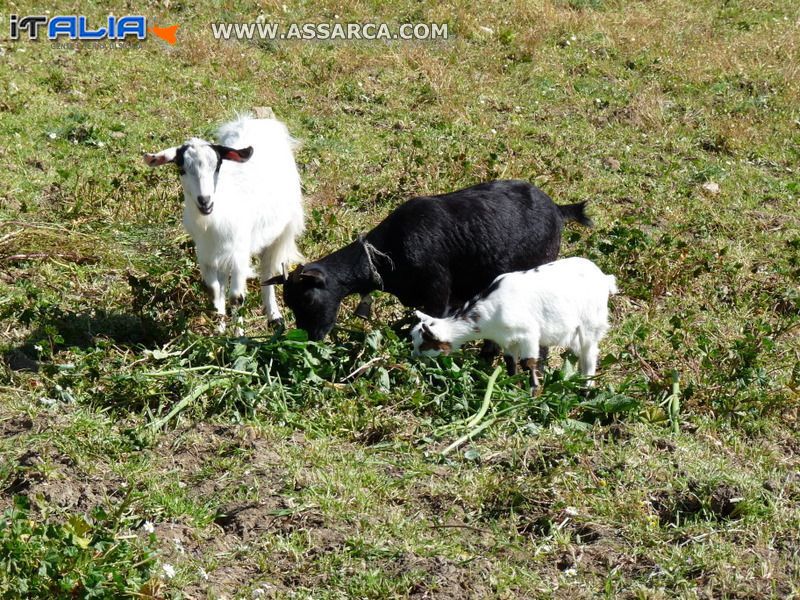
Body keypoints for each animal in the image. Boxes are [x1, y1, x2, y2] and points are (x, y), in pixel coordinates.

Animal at [142, 116, 304, 332]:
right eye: (181, 169)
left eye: (217, 166)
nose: (205, 201)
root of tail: (257, 120)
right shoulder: (207, 256)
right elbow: (214, 292)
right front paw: (218, 330)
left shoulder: (239, 255)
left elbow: (237, 297)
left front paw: (238, 334)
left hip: (282, 231)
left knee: (268, 271)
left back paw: (275, 318)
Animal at [412, 256, 620, 390]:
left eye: (424, 345)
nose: (413, 356)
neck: (490, 312)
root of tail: (604, 277)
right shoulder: (507, 341)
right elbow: (511, 363)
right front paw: (514, 389)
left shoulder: (529, 334)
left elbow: (528, 363)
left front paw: (533, 393)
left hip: (591, 321)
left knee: (589, 353)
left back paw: (587, 389)